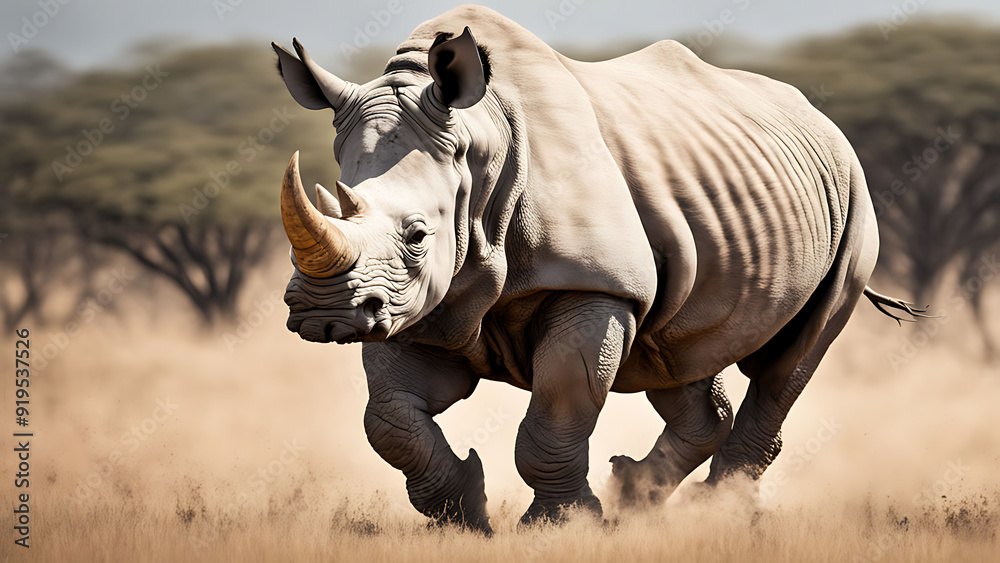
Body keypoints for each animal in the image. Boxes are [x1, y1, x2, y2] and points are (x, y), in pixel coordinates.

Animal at [272, 5, 923, 534]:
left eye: (416, 236)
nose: (324, 316)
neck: (480, 145)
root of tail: (819, 116)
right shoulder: (420, 302)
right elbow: (388, 419)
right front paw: (466, 515)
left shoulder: (596, 285)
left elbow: (558, 409)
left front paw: (560, 526)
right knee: (676, 349)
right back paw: (637, 497)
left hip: (856, 198)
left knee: (789, 359)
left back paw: (719, 515)